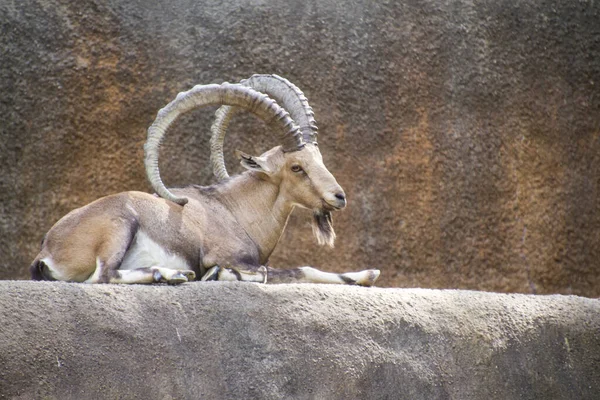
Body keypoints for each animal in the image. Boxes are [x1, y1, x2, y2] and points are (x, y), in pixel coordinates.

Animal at [30, 75, 380, 286]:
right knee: (103, 276)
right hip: (119, 226)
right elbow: (281, 271)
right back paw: (171, 274)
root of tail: (46, 251)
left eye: (319, 158)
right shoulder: (227, 255)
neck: (235, 211)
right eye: (296, 167)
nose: (338, 197)